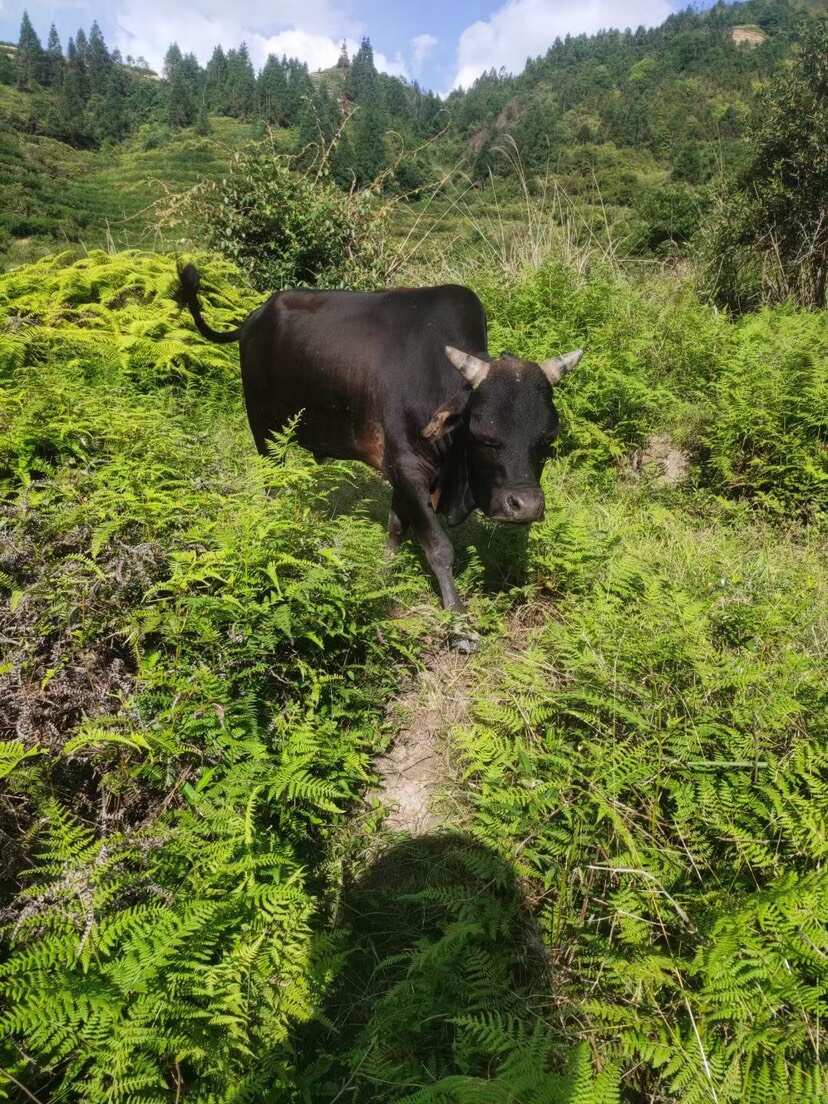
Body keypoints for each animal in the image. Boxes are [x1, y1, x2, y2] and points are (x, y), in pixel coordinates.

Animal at [178, 264, 587, 644]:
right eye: (483, 434)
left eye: (548, 438)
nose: (525, 506)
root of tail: (255, 316)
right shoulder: (408, 468)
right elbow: (438, 547)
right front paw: (459, 622)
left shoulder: (403, 472)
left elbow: (396, 528)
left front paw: (383, 573)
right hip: (265, 429)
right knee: (271, 482)